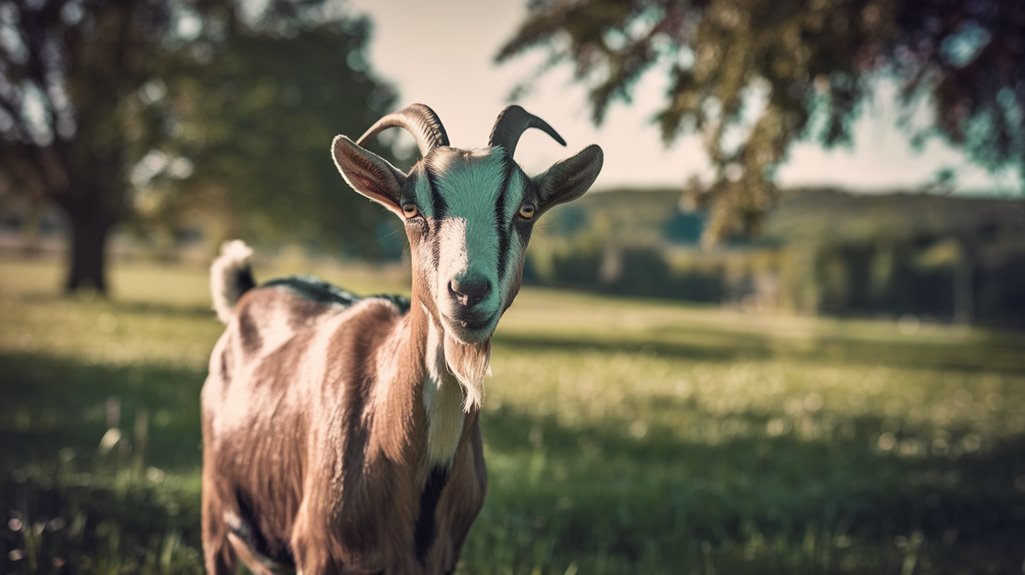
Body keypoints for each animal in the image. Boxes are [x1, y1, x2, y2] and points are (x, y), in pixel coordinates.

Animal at [200, 104, 603, 574]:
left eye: (526, 210)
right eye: (411, 209)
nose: (468, 292)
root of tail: (247, 293)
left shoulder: (443, 558)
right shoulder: (317, 549)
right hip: (216, 514)